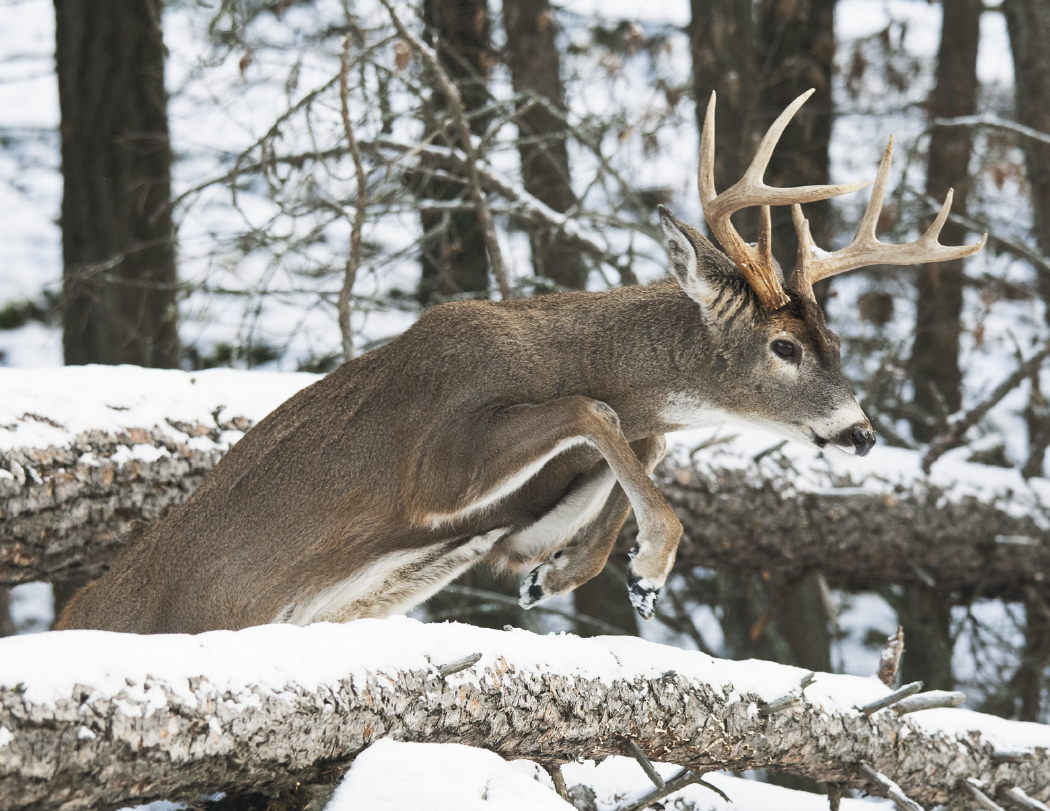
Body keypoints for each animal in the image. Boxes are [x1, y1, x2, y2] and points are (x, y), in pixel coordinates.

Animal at [58, 90, 985, 634]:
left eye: (837, 343)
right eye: (785, 346)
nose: (861, 432)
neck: (558, 346)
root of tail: (72, 616)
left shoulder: (512, 516)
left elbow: (636, 447)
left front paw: (576, 572)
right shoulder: (432, 461)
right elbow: (596, 409)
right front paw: (652, 561)